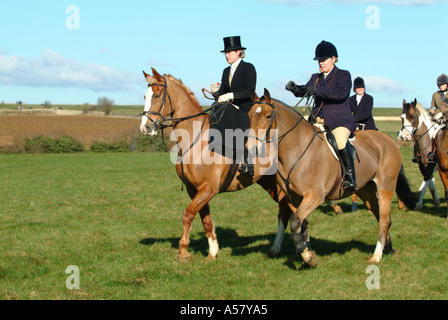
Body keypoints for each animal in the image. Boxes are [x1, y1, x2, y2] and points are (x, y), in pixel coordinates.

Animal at [142, 67, 296, 260]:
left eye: (156, 95)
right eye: (145, 96)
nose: (145, 128)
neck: (196, 140)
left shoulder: (208, 188)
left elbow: (188, 215)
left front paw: (183, 252)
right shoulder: (195, 190)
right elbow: (205, 219)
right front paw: (213, 251)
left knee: (287, 211)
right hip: (270, 183)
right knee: (285, 211)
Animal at [247, 89, 414, 268]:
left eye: (268, 116)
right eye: (249, 115)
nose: (251, 148)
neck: (296, 149)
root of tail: (388, 140)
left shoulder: (314, 197)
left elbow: (295, 222)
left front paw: (308, 257)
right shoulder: (293, 198)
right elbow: (300, 225)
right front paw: (307, 255)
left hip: (385, 187)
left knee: (384, 220)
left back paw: (376, 255)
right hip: (366, 191)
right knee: (380, 216)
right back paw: (388, 248)